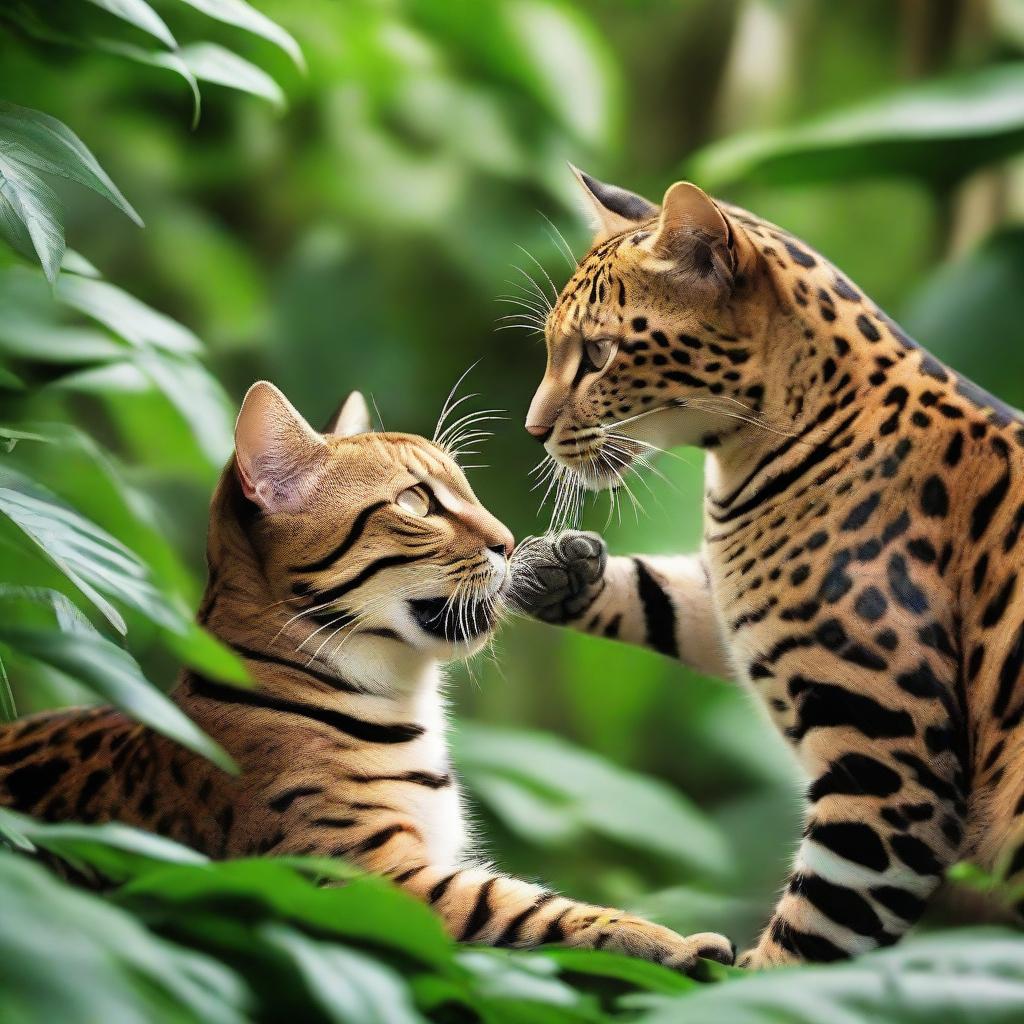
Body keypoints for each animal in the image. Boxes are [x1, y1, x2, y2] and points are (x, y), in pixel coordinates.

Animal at [2, 380, 737, 970]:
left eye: (465, 489)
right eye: (415, 503)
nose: (507, 540)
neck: (403, 697)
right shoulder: (359, 876)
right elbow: (529, 908)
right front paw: (663, 939)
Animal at [512, 167, 1024, 966]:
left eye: (598, 354)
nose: (533, 430)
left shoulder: (889, 773)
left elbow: (813, 937)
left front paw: (747, 976)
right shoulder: (738, 602)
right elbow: (672, 597)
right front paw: (553, 570)